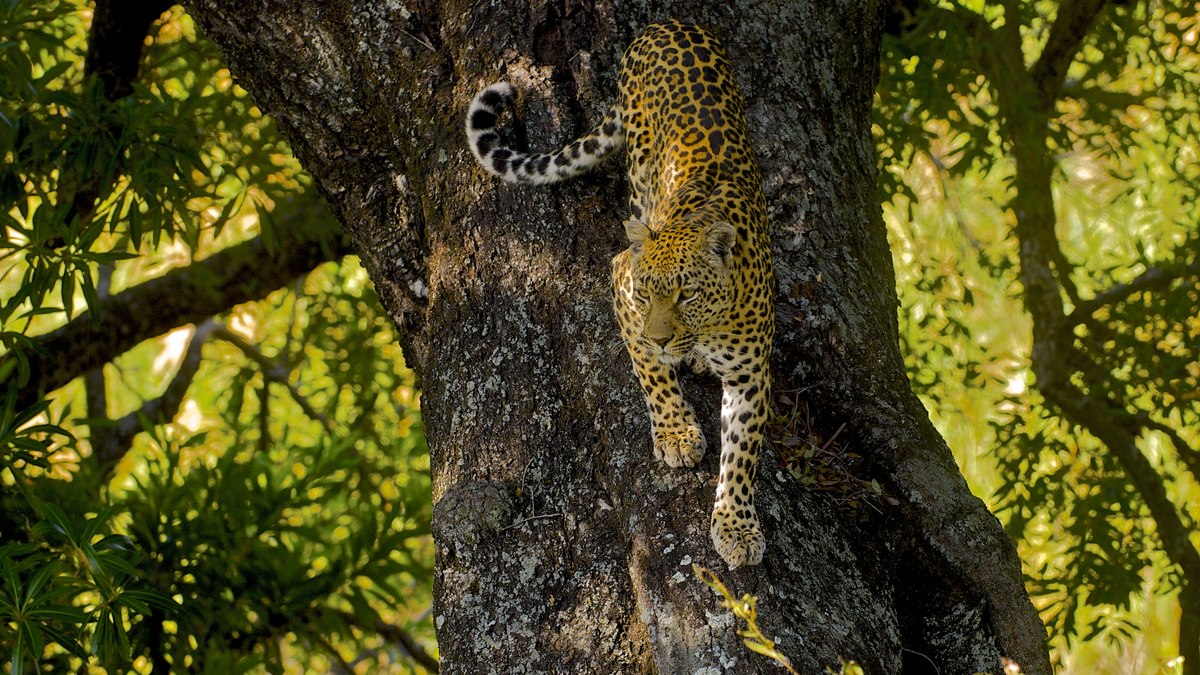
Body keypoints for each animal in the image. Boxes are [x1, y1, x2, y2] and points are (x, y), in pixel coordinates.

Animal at [465, 20, 774, 568]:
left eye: (687, 294)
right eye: (648, 294)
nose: (663, 337)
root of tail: (665, 25)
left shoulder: (750, 375)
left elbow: (741, 456)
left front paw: (736, 526)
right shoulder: (622, 281)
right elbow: (649, 370)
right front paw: (675, 432)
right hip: (639, 170)